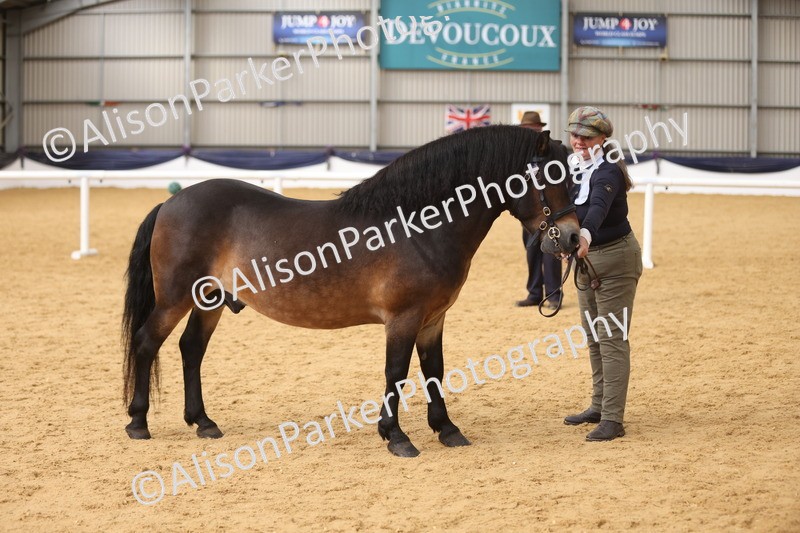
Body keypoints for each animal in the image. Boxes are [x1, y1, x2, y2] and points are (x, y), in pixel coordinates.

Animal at [122, 125, 580, 457]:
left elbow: (434, 370)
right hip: (176, 298)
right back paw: (138, 422)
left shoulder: (433, 318)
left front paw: (447, 429)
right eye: (549, 176)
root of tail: (171, 203)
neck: (417, 226)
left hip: (210, 299)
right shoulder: (404, 319)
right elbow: (396, 373)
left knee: (191, 349)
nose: (574, 237)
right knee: (147, 342)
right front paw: (396, 437)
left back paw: (203, 422)